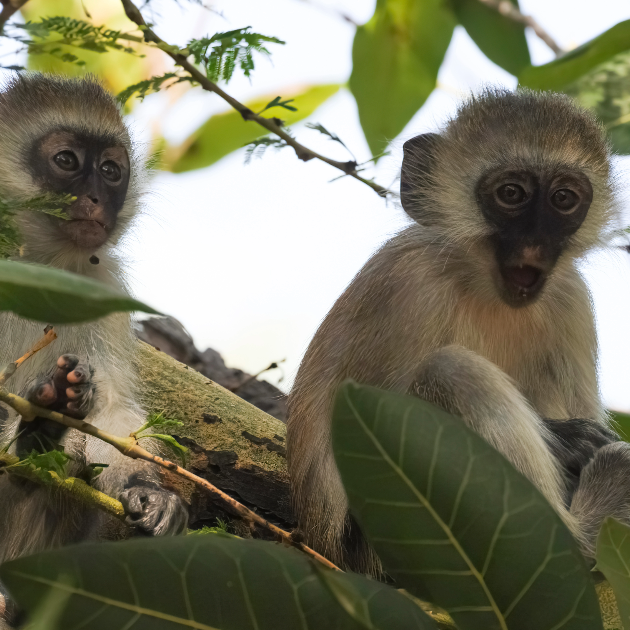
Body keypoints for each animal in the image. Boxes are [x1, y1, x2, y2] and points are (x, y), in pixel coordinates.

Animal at [0, 75, 188, 628]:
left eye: (110, 170)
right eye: (66, 160)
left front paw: (149, 491)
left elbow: (112, 413)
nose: (96, 198)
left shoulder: (99, 284)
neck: (33, 263)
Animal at [288, 89, 628, 576]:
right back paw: (579, 536)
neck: (485, 285)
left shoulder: (570, 298)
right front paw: (567, 440)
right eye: (511, 194)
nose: (535, 243)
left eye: (563, 199)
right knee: (451, 371)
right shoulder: (408, 280)